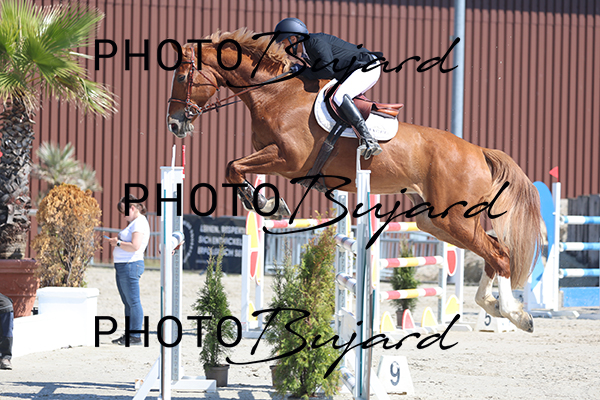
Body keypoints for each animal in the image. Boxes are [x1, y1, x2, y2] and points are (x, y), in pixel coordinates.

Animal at [166, 28, 542, 333]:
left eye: (183, 77)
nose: (174, 124)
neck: (276, 96)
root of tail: (478, 151)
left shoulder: (287, 160)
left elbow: (232, 166)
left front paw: (266, 202)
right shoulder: (273, 158)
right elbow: (236, 168)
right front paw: (267, 201)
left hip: (454, 217)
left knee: (500, 255)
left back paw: (514, 313)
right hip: (436, 220)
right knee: (492, 252)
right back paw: (495, 306)